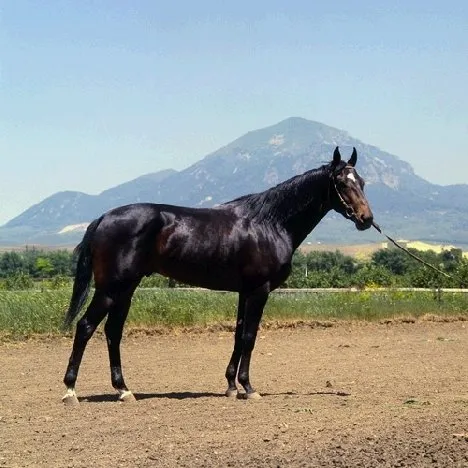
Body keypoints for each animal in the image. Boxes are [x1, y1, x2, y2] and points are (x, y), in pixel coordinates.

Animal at [61, 147, 372, 406]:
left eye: (362, 182)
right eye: (342, 183)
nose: (366, 219)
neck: (270, 223)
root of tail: (103, 218)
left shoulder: (245, 291)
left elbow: (238, 335)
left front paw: (231, 386)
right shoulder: (259, 291)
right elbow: (249, 336)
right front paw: (248, 388)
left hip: (125, 290)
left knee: (112, 332)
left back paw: (124, 390)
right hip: (110, 290)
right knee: (85, 327)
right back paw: (70, 391)